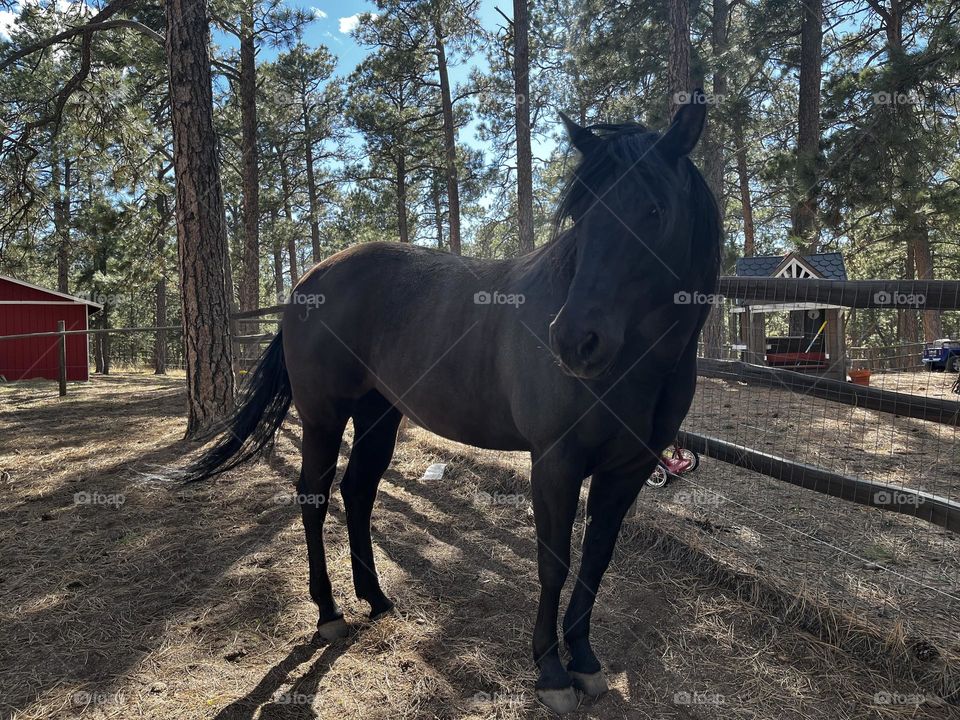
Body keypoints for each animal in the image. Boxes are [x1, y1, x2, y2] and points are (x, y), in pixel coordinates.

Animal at [182, 91, 720, 716]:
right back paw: (329, 612)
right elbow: (554, 561)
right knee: (315, 498)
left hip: (378, 416)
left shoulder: (628, 469)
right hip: (322, 417)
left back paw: (376, 597)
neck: (637, 366)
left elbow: (595, 562)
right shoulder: (555, 462)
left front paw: (585, 661)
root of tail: (308, 280)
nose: (573, 343)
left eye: (656, 210)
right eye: (582, 214)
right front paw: (550, 671)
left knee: (358, 494)